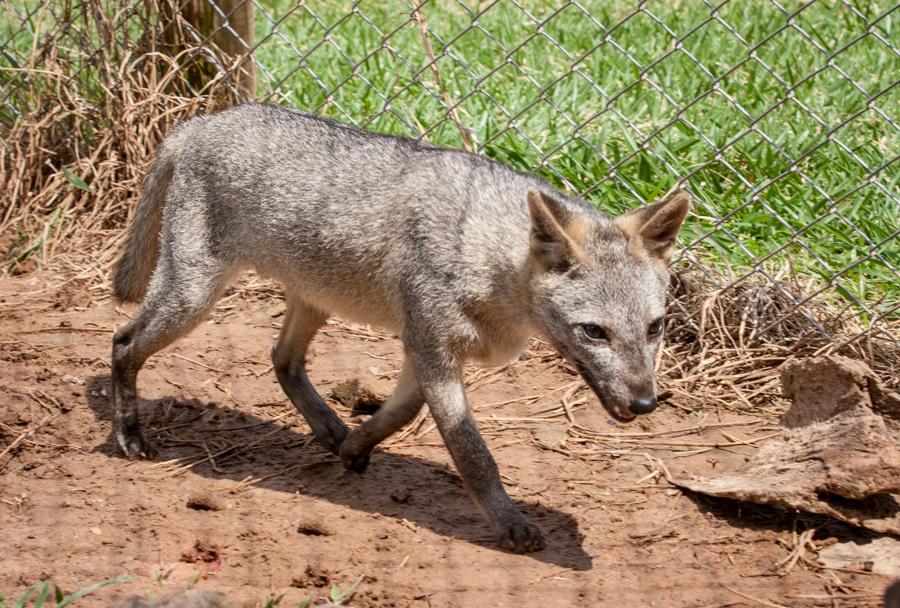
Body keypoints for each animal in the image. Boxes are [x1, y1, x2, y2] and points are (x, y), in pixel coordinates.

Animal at [110, 103, 688, 552]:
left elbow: (402, 413)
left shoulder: (422, 350)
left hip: (314, 302)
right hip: (191, 300)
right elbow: (472, 453)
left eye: (655, 327)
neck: (485, 254)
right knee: (122, 343)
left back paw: (329, 429)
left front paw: (356, 445)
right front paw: (508, 522)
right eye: (594, 332)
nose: (644, 404)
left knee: (282, 361)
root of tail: (203, 120)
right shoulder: (431, 347)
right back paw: (128, 436)